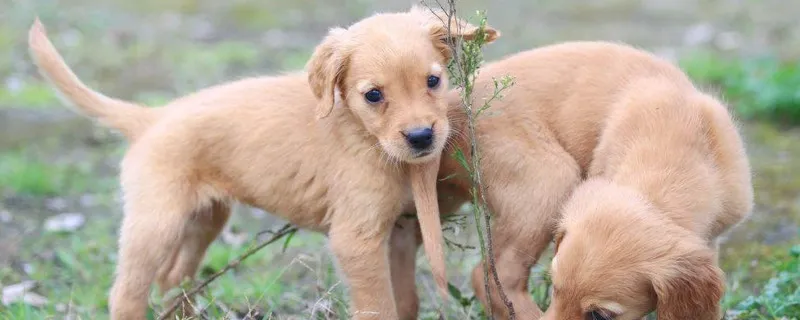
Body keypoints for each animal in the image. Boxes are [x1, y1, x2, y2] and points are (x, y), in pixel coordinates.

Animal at [25, 6, 496, 318]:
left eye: (433, 80)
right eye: (373, 95)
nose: (421, 137)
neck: (364, 136)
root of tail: (151, 117)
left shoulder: (399, 231)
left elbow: (405, 300)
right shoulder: (356, 239)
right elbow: (378, 307)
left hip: (205, 220)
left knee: (174, 278)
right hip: (156, 224)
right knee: (127, 293)